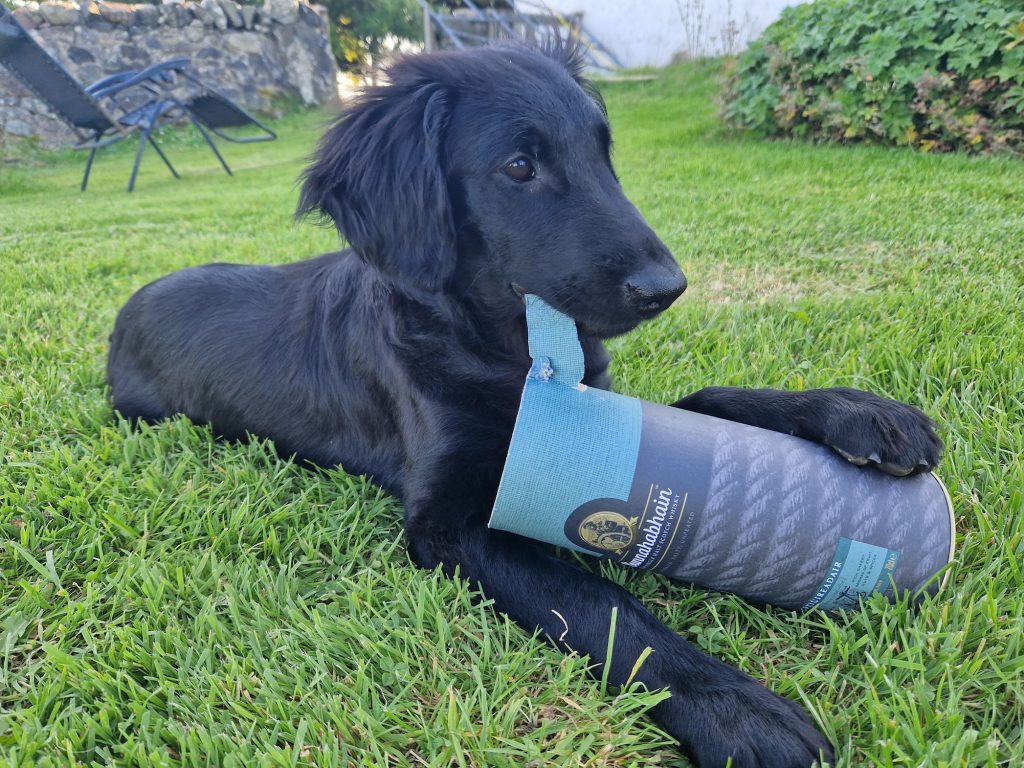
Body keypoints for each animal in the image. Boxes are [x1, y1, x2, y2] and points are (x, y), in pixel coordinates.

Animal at [105, 43, 942, 768]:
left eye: (604, 155)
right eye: (519, 166)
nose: (667, 289)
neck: (505, 352)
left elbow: (711, 398)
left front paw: (857, 412)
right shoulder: (446, 524)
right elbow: (600, 601)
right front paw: (737, 710)